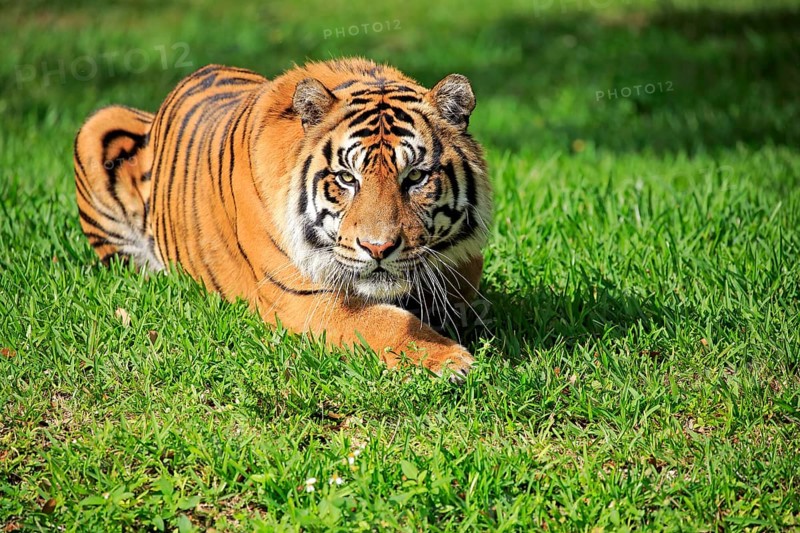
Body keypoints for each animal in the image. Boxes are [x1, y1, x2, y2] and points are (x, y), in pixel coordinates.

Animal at [73, 58, 491, 379]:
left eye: (416, 177)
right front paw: (449, 359)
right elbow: (384, 322)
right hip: (98, 125)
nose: (378, 248)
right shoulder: (304, 298)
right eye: (347, 178)